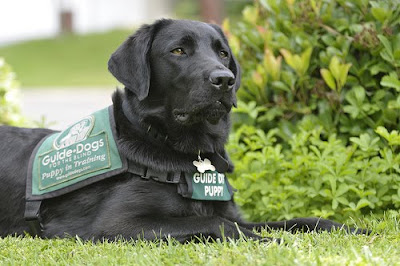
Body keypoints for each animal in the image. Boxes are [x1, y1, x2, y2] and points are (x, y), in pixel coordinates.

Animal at [0, 19, 362, 243]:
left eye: (222, 53)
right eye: (178, 51)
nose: (225, 80)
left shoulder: (234, 211)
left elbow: (305, 221)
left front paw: (352, 229)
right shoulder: (113, 225)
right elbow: (217, 223)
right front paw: (269, 241)